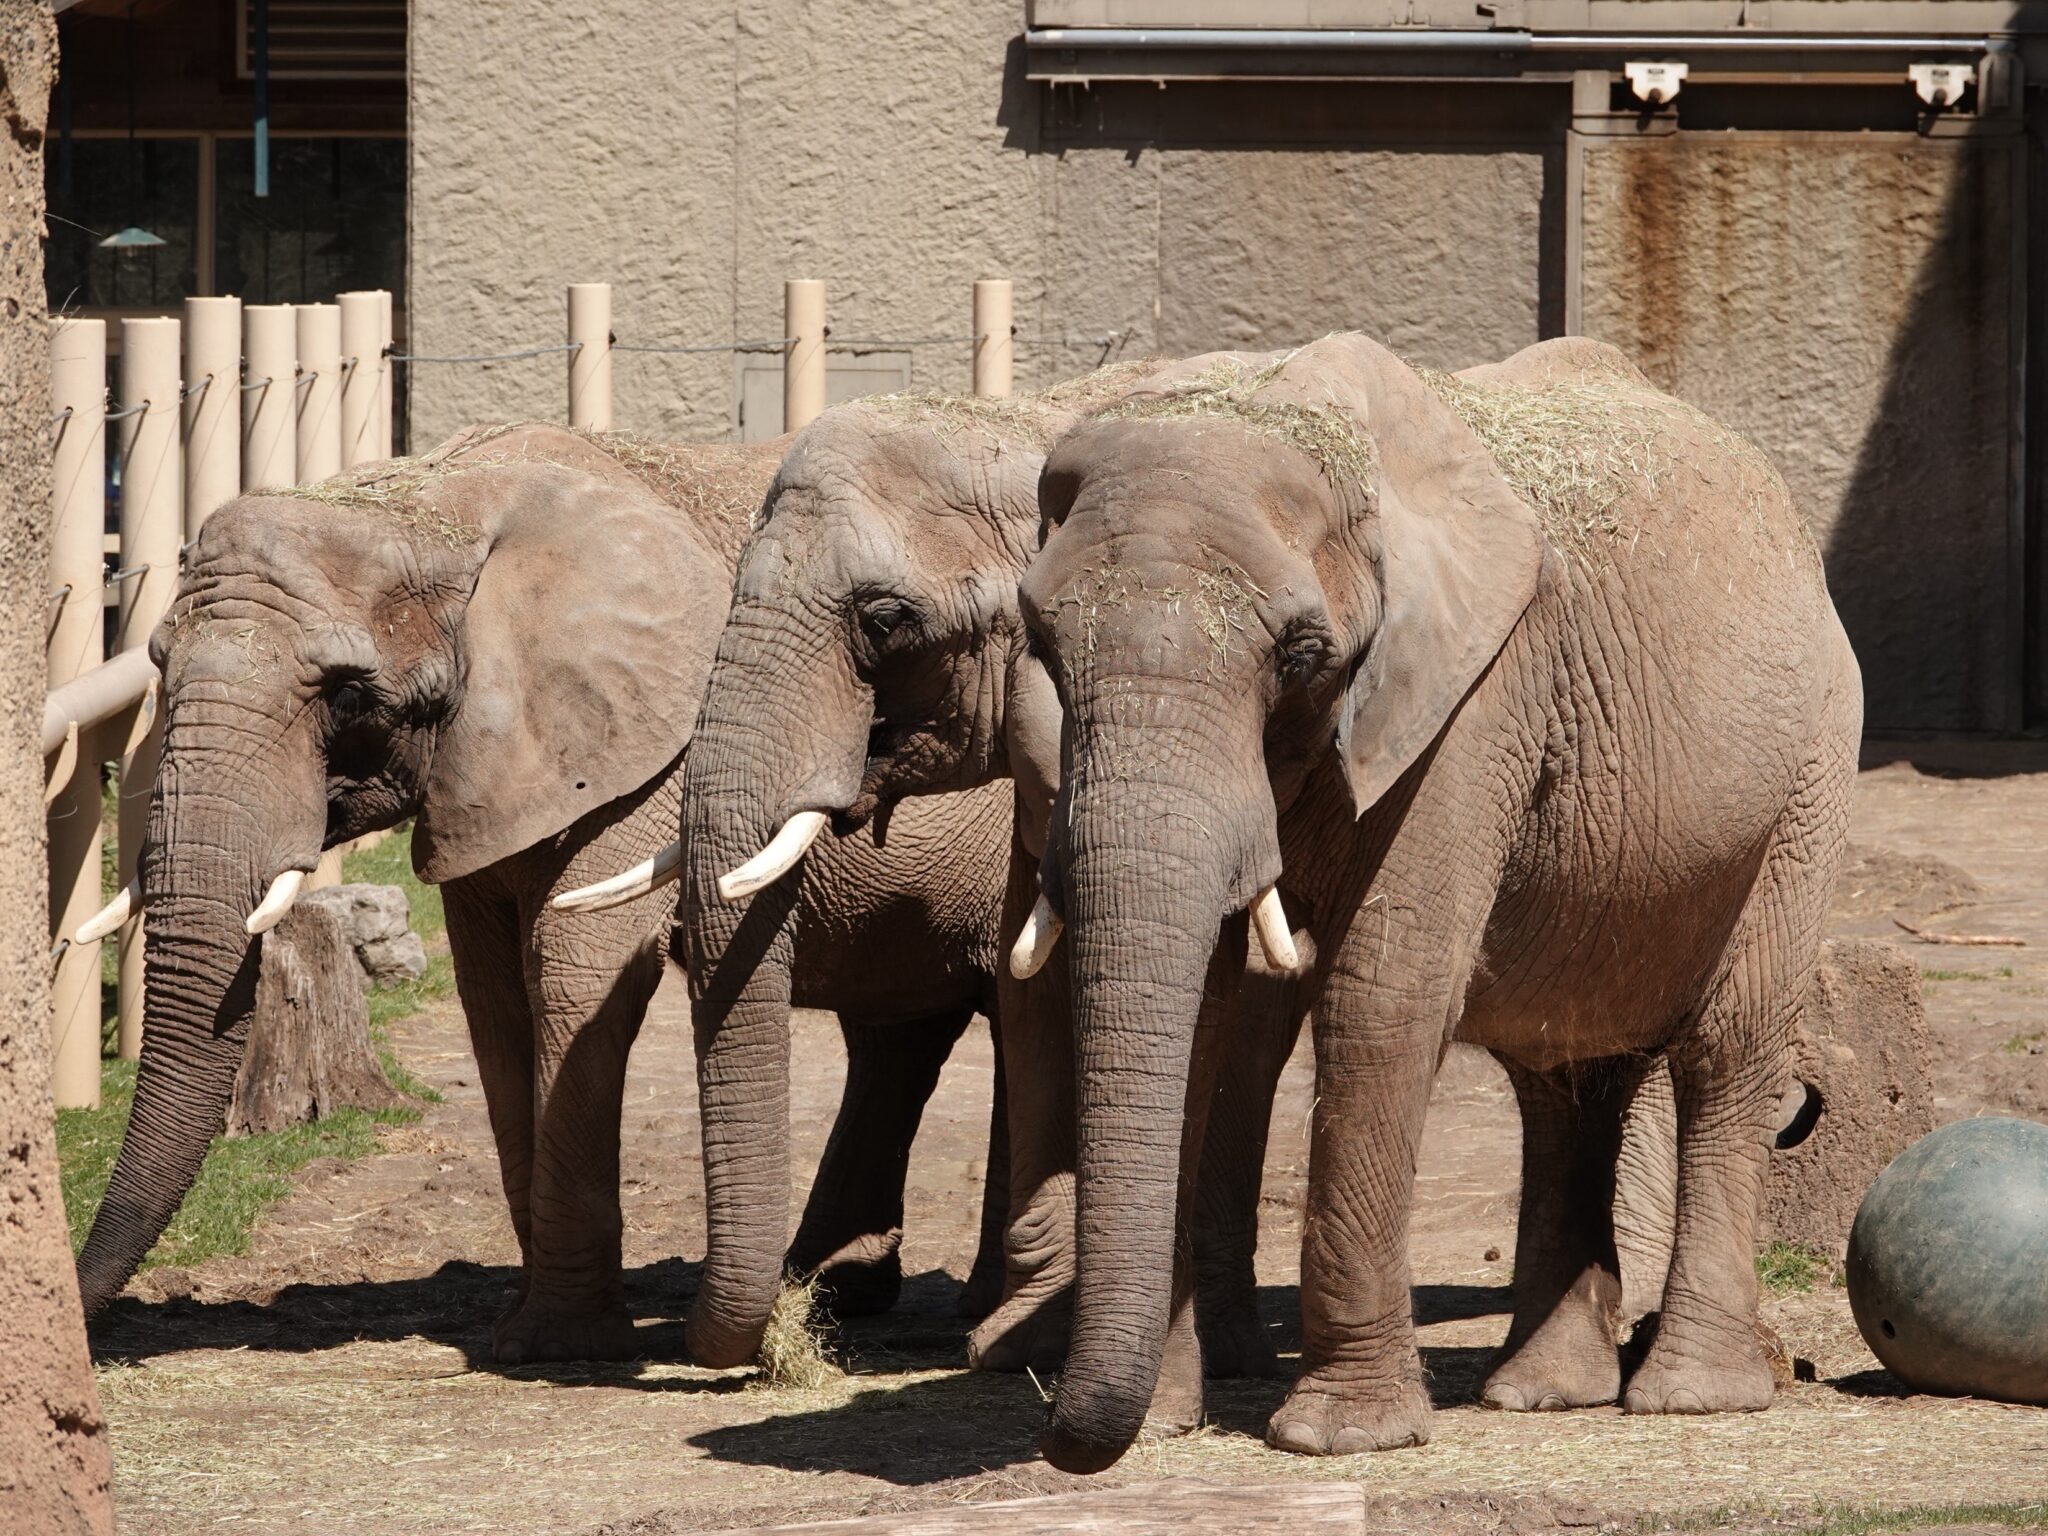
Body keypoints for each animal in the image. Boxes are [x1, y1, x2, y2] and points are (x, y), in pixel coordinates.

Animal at [70, 422, 1014, 1360]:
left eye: (347, 697)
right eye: (156, 664)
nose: (86, 1310)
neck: (440, 503)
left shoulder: (640, 751)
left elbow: (568, 976)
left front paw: (556, 1344)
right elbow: (493, 1000)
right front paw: (520, 1328)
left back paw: (975, 1312)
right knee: (902, 1034)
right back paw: (837, 1292)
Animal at [1014, 335, 1862, 1470]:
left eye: (1300, 653)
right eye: (1039, 641)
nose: (1062, 1434)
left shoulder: (1473, 701)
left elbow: (1382, 994)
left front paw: (1336, 1440)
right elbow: (1200, 1012)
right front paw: (1160, 1425)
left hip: (1811, 769)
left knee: (1730, 1046)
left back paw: (1690, 1397)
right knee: (1563, 1077)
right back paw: (1540, 1395)